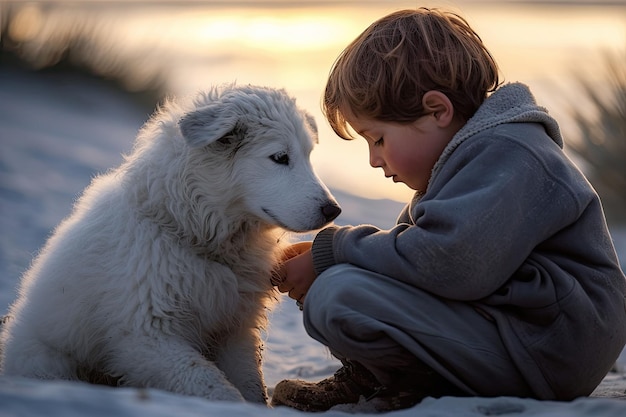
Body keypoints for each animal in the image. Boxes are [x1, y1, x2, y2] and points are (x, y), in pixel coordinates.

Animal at [0, 83, 342, 404]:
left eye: (307, 157)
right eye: (280, 158)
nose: (333, 210)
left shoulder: (235, 330)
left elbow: (249, 383)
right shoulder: (146, 335)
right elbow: (209, 381)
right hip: (48, 358)